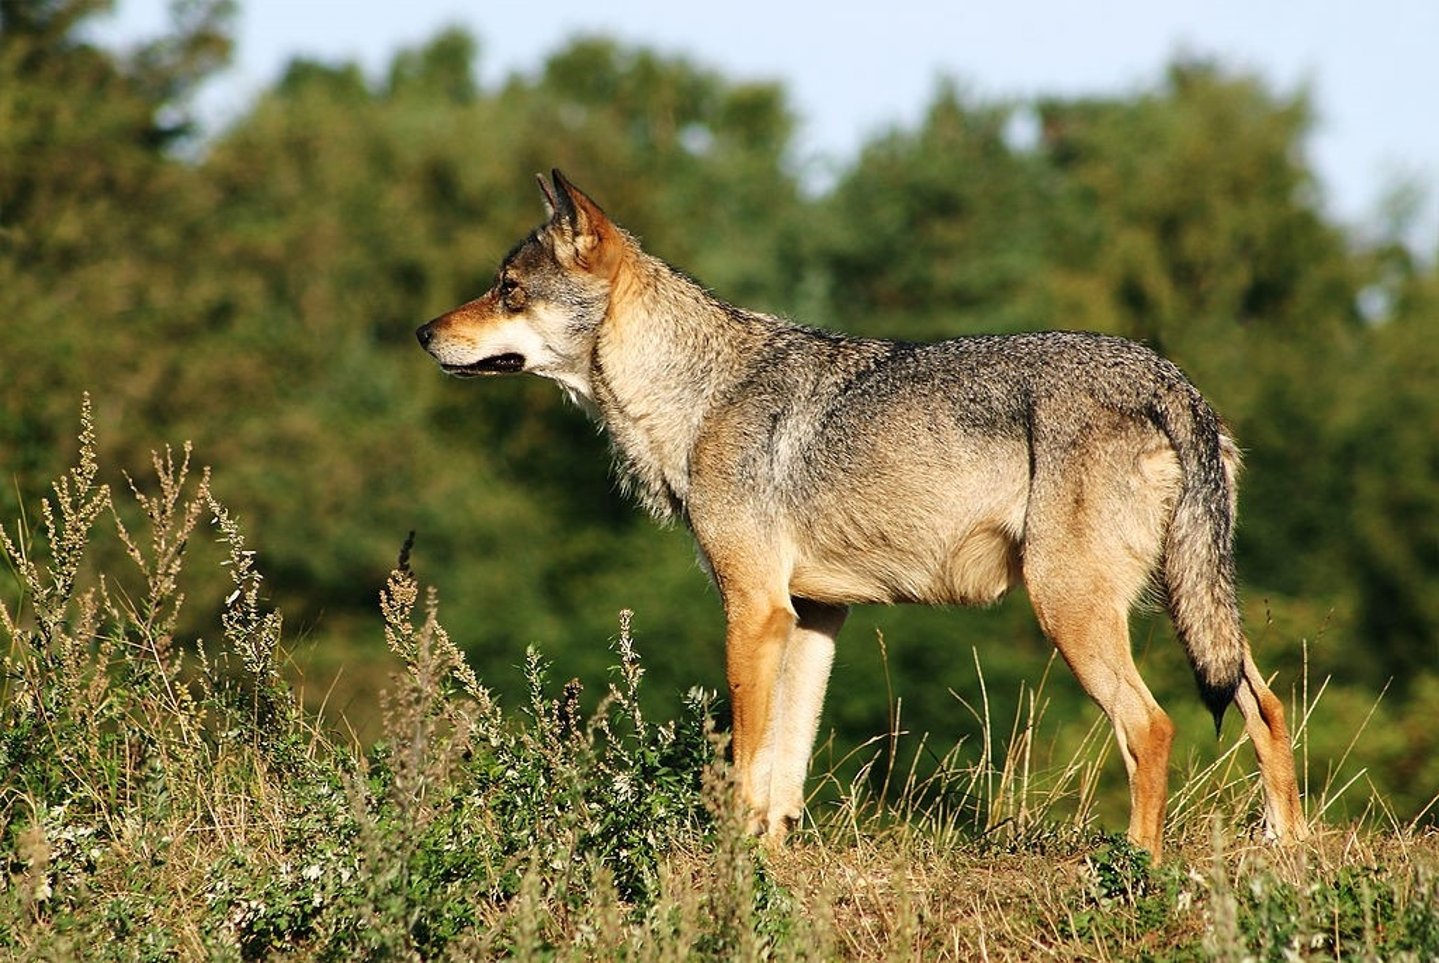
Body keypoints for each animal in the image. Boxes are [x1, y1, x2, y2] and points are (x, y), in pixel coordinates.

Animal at [416, 170, 1306, 859]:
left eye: (507, 291)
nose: (422, 332)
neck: (693, 394)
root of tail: (1172, 382)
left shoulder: (754, 610)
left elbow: (747, 755)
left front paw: (731, 861)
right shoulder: (813, 616)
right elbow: (785, 765)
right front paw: (769, 859)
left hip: (1071, 610)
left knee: (1152, 726)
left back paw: (1136, 865)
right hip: (1188, 607)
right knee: (1264, 704)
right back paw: (1286, 849)